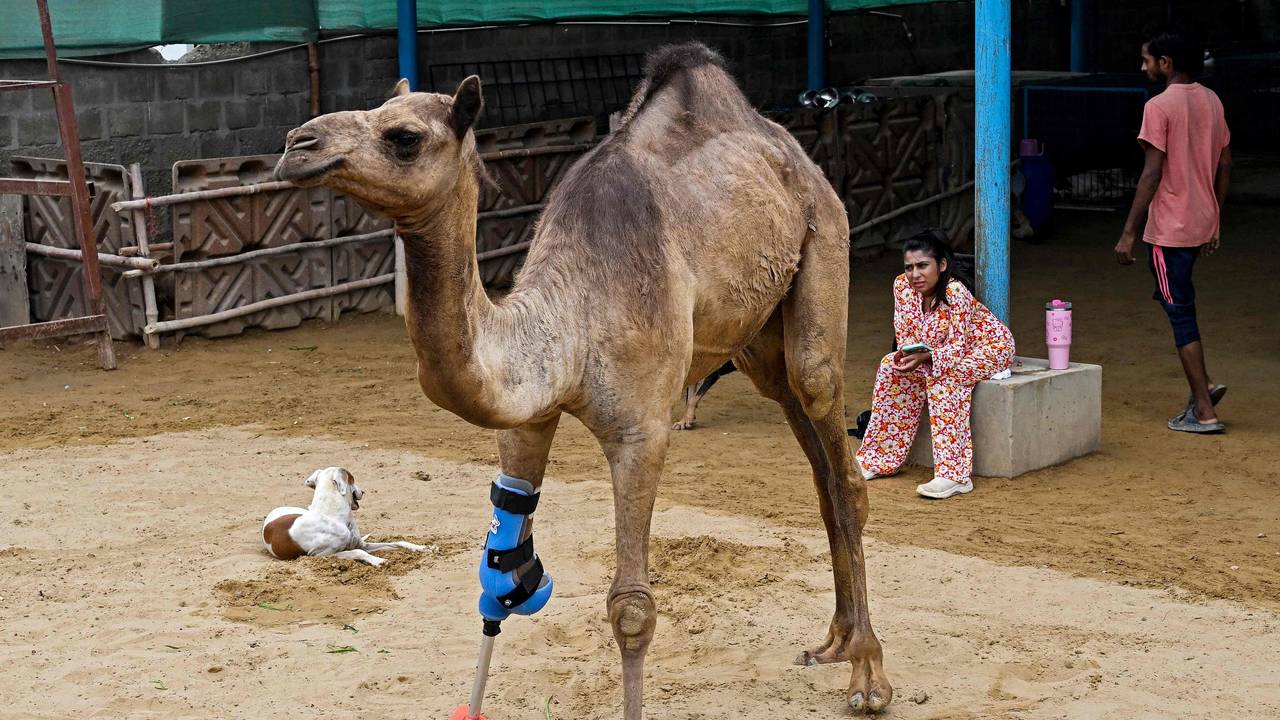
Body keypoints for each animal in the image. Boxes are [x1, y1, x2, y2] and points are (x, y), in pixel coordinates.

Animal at [274, 42, 892, 717]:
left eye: (403, 136)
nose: (297, 144)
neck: (568, 324)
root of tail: (794, 153)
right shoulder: (525, 421)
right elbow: (497, 576)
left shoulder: (640, 431)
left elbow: (632, 608)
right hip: (760, 344)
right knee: (816, 461)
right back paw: (833, 641)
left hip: (824, 249)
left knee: (839, 450)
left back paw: (867, 675)